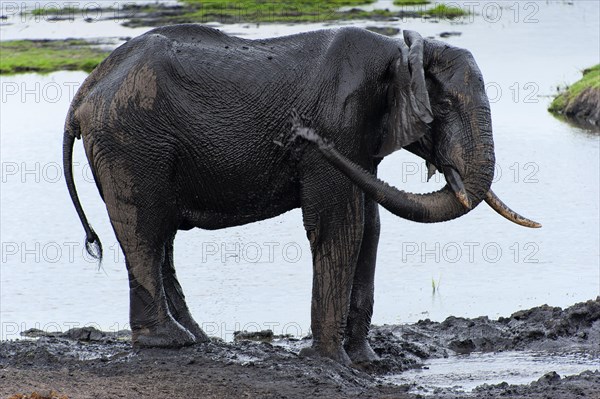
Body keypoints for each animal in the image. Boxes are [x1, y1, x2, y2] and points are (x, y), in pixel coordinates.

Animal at [63, 25, 540, 368]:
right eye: (441, 109)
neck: (398, 49)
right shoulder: (342, 122)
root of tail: (86, 90)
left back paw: (197, 338)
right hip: (131, 142)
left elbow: (370, 227)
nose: (299, 133)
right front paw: (334, 363)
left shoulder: (361, 140)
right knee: (146, 229)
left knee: (160, 237)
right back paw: (170, 343)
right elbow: (341, 225)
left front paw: (367, 362)